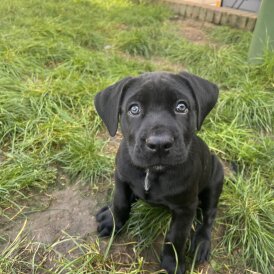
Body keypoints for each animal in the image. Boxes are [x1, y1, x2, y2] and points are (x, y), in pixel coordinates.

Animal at [93, 71, 223, 272]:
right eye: (134, 109)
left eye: (181, 107)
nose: (159, 144)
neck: (152, 173)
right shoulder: (121, 177)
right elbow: (120, 202)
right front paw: (112, 222)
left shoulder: (186, 207)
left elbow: (176, 236)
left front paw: (173, 263)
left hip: (216, 176)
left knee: (209, 214)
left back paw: (202, 243)